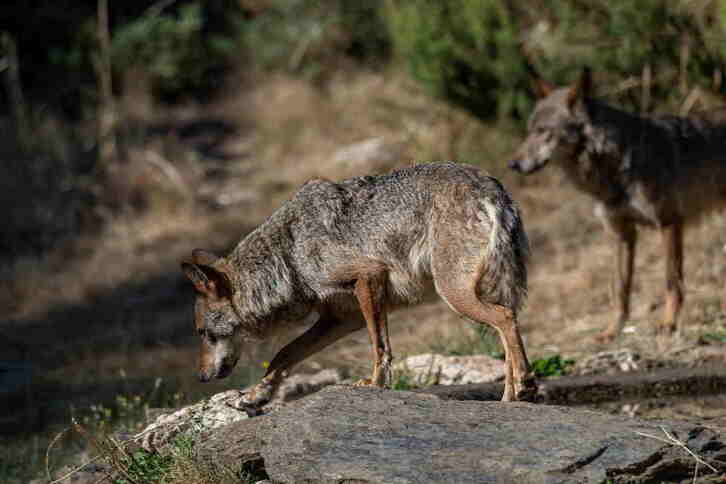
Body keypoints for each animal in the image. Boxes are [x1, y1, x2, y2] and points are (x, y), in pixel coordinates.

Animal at [181, 162, 535, 411]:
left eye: (203, 333)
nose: (200, 377)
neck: (288, 254)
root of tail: (490, 187)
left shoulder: (368, 277)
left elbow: (380, 347)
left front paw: (375, 385)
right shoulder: (340, 318)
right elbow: (284, 355)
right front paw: (256, 397)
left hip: (455, 294)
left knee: (505, 319)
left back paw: (525, 386)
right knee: (507, 332)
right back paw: (510, 397)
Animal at [509, 67, 726, 342]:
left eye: (543, 131)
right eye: (529, 130)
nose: (513, 164)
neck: (618, 161)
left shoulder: (669, 223)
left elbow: (671, 281)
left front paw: (668, 323)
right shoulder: (622, 235)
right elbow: (620, 289)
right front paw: (612, 331)